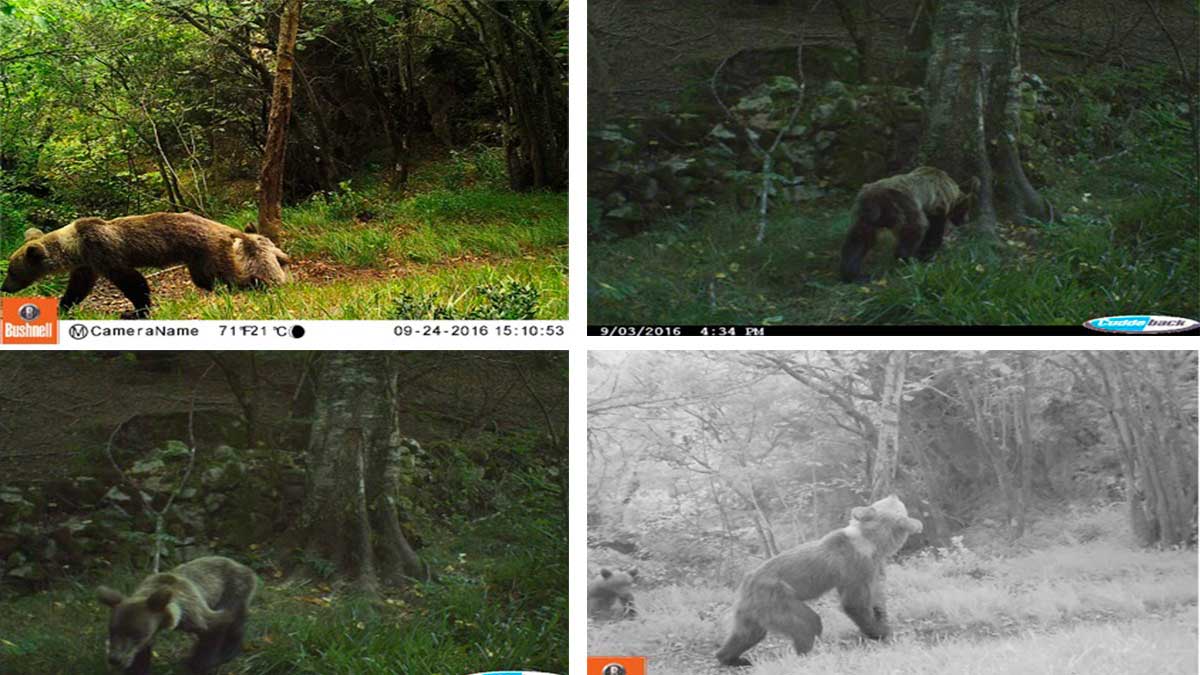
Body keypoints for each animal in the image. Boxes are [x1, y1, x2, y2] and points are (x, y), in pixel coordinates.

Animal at [0, 212, 290, 317]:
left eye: (11, 270)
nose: (5, 287)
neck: (75, 248)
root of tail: (226, 229)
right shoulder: (87, 265)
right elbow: (78, 288)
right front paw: (63, 307)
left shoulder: (104, 253)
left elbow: (133, 281)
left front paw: (135, 311)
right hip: (197, 260)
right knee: (208, 279)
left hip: (209, 250)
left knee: (229, 276)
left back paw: (259, 283)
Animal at [96, 554, 258, 667]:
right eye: (112, 630)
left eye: (134, 634)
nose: (114, 659)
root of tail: (243, 566)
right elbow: (140, 654)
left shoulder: (195, 613)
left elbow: (214, 628)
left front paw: (198, 664)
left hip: (234, 591)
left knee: (236, 623)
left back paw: (228, 651)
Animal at [715, 492, 921, 662]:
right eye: (895, 503)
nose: (894, 493)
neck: (872, 544)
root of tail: (744, 585)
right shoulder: (855, 567)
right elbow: (854, 603)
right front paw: (881, 632)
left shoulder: (875, 567)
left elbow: (877, 595)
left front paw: (882, 618)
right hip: (777, 597)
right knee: (807, 623)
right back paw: (808, 656)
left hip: (753, 610)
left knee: (747, 634)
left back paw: (732, 658)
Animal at [840, 168, 979, 283]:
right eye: (966, 209)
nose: (966, 221)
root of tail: (874, 202)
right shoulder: (936, 205)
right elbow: (933, 230)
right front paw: (928, 254)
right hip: (901, 205)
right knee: (914, 229)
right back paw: (907, 260)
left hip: (863, 214)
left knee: (857, 240)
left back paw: (855, 275)